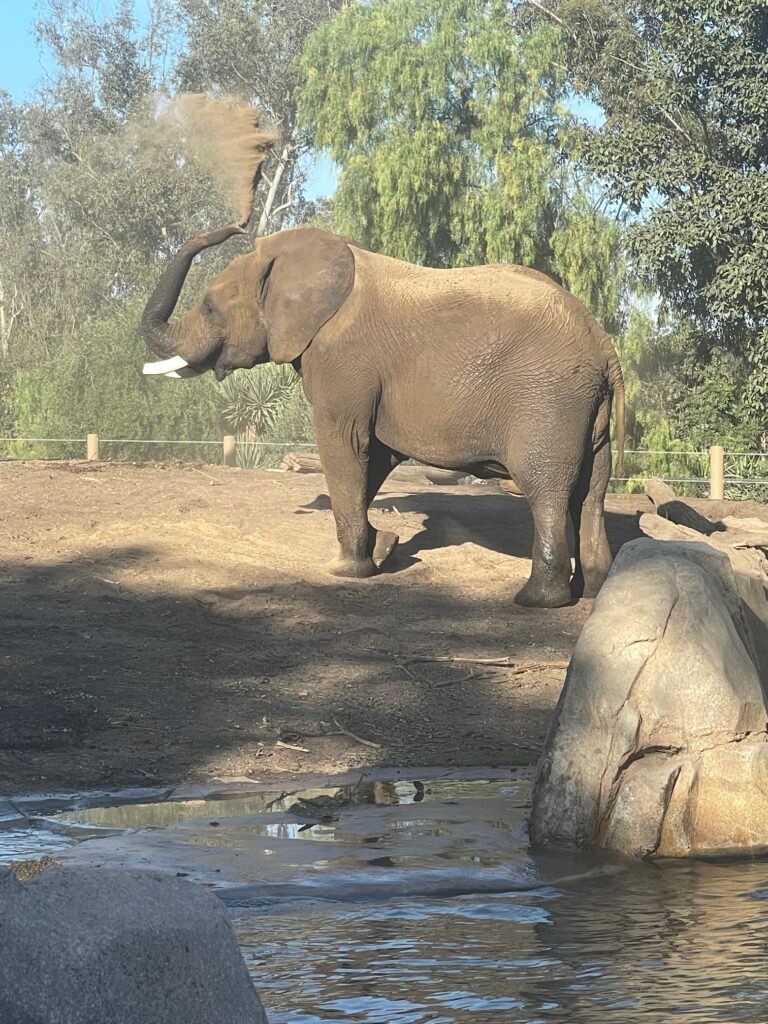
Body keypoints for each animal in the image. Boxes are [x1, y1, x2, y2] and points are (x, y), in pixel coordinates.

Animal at [141, 223, 625, 608]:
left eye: (209, 308)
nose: (238, 228)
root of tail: (605, 348)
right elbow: (375, 456)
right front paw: (383, 547)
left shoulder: (342, 359)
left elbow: (343, 443)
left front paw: (344, 569)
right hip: (587, 411)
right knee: (591, 491)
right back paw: (593, 590)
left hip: (548, 400)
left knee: (547, 489)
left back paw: (536, 600)